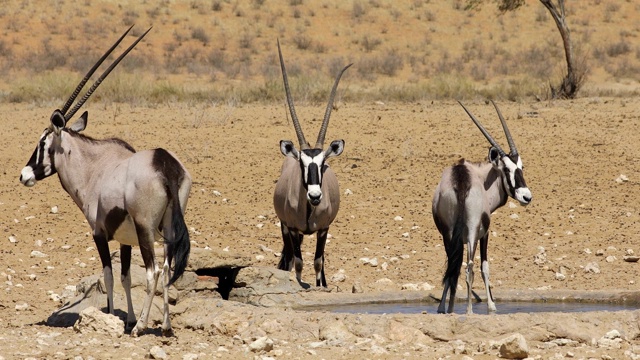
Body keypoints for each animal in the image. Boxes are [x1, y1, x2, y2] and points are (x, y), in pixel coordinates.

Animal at [18, 26, 191, 336]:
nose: (24, 175)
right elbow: (125, 277)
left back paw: (142, 328)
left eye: (42, 142)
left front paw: (113, 318)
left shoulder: (99, 233)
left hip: (147, 229)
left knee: (154, 271)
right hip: (169, 228)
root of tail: (164, 163)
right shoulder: (125, 239)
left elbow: (109, 276)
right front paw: (127, 318)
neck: (93, 167)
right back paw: (166, 327)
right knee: (167, 269)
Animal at [272, 40, 352, 286]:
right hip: (286, 229)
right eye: (302, 163)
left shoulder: (324, 229)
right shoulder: (291, 228)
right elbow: (298, 262)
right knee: (289, 256)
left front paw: (320, 286)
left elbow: (318, 261)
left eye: (323, 161)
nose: (315, 196)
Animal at [432, 100, 532, 314]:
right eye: (507, 169)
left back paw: (448, 308)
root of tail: (461, 178)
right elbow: (485, 267)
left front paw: (445, 306)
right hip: (472, 230)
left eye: (521, 167)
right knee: (469, 266)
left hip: (448, 232)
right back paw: (469, 311)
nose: (526, 197)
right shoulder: (484, 233)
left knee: (452, 267)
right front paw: (492, 305)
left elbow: (453, 268)